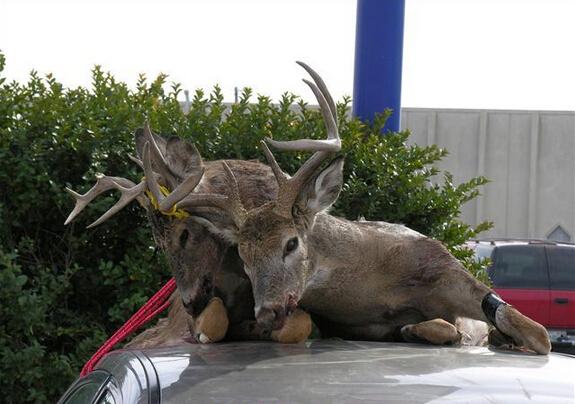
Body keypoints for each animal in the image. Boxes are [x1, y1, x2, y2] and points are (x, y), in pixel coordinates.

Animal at [187, 61, 552, 356]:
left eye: (291, 243)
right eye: (244, 257)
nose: (266, 312)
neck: (372, 283)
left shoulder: (443, 265)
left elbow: (533, 330)